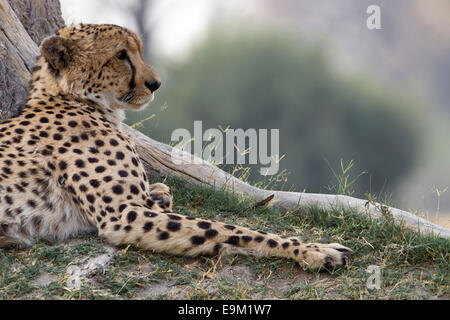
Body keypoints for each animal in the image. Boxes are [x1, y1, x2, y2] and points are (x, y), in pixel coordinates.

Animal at [0, 23, 352, 272]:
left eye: (138, 50)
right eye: (120, 55)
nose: (155, 83)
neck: (72, 99)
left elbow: (165, 193)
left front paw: (159, 193)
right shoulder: (123, 215)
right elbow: (229, 228)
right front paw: (314, 251)